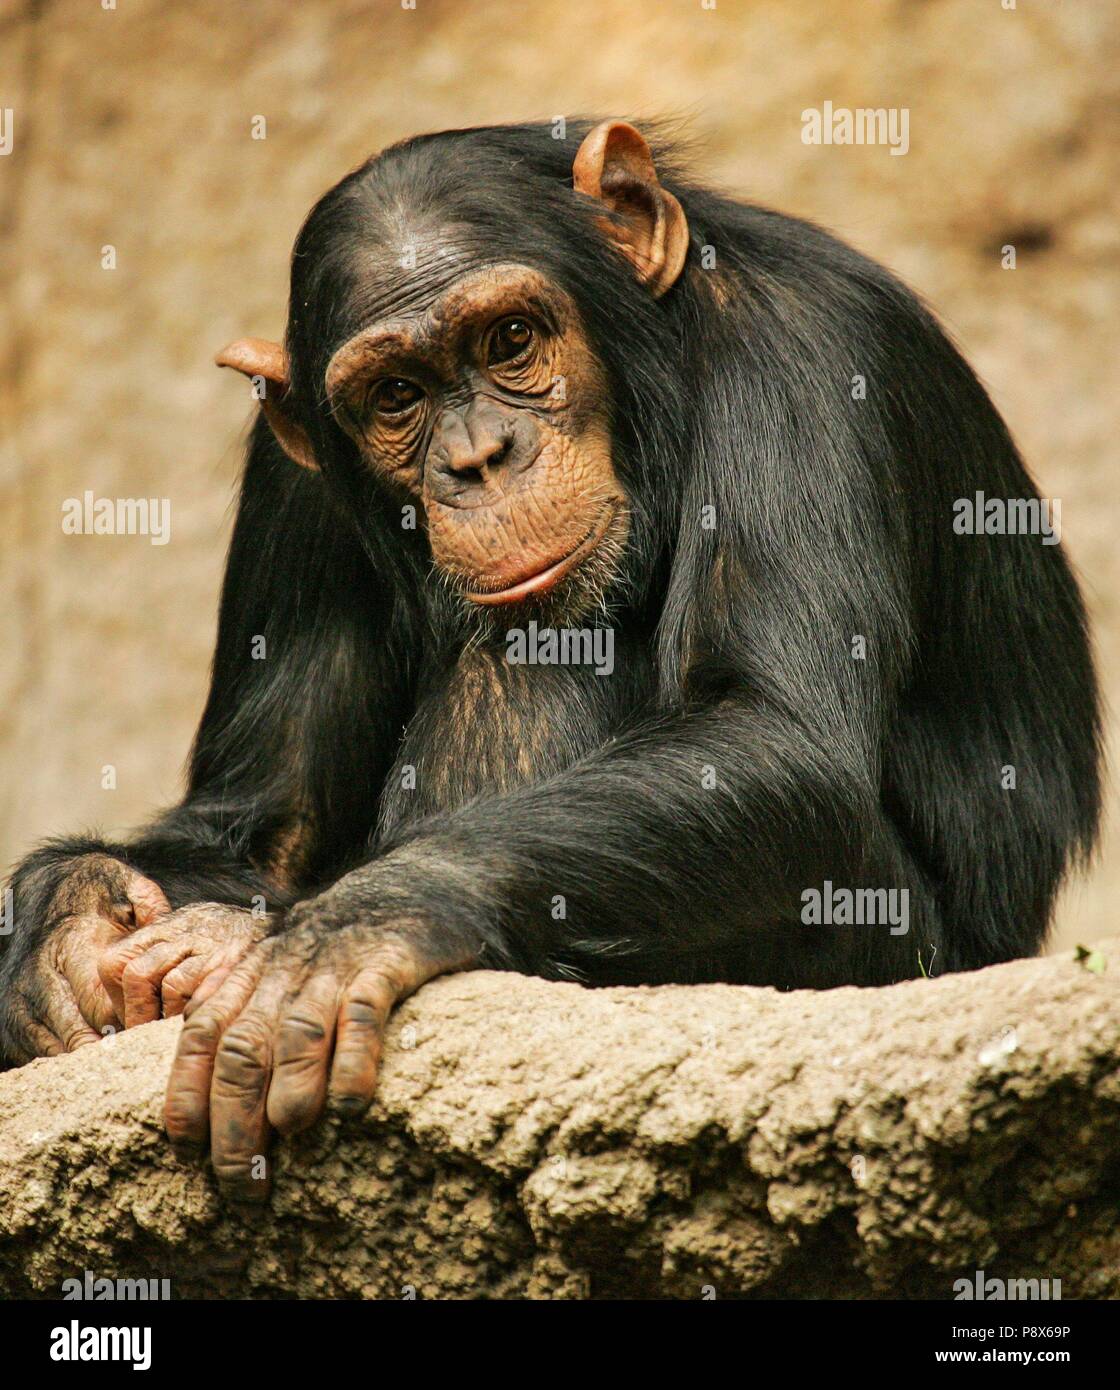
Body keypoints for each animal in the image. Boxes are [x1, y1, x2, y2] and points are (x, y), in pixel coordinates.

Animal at [2, 119, 1106, 1195]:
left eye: (511, 340)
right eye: (396, 395)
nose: (479, 458)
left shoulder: (808, 356)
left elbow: (770, 732)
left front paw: (354, 924)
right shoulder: (295, 475)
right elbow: (266, 824)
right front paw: (70, 921)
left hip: (902, 959)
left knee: (537, 664)